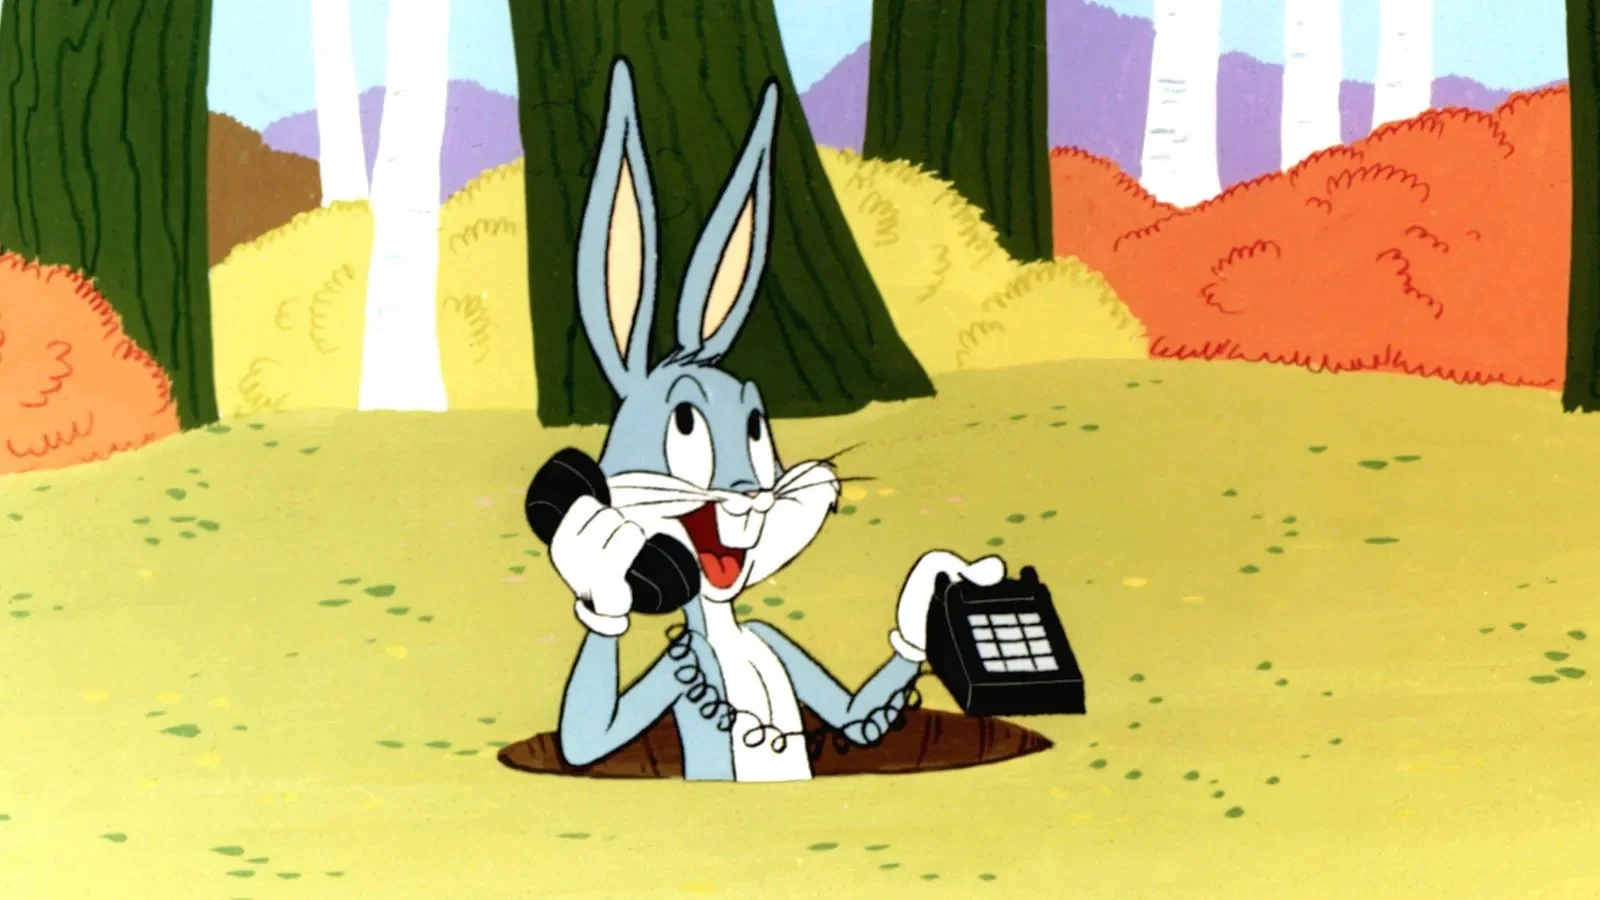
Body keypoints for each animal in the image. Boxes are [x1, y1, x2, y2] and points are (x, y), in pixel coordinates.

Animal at [550, 57, 1008, 783]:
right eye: (685, 424)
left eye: (757, 426)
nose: (751, 493)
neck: (725, 628)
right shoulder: (681, 670)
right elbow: (588, 738)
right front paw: (597, 561)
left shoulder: (776, 640)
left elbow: (856, 718)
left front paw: (931, 586)